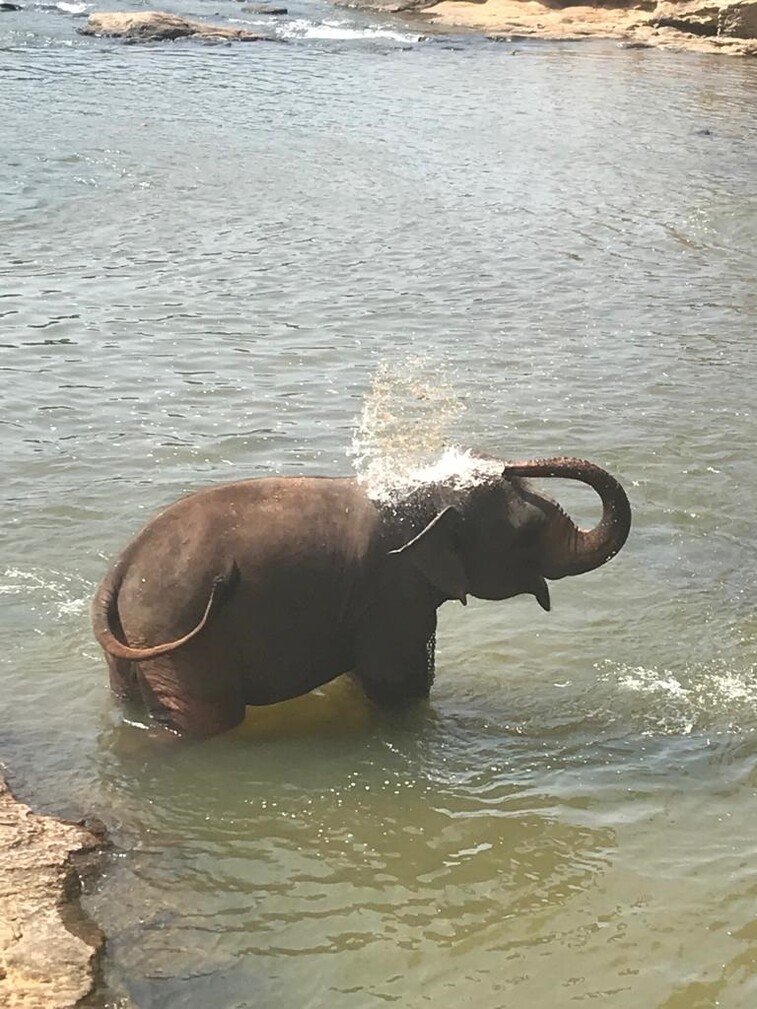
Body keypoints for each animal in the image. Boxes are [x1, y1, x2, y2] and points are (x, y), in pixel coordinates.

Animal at [91, 454, 629, 738]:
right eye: (529, 532)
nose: (509, 463)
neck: (421, 495)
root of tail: (118, 570)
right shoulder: (393, 592)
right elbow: (399, 684)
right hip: (179, 631)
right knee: (208, 716)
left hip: (140, 641)